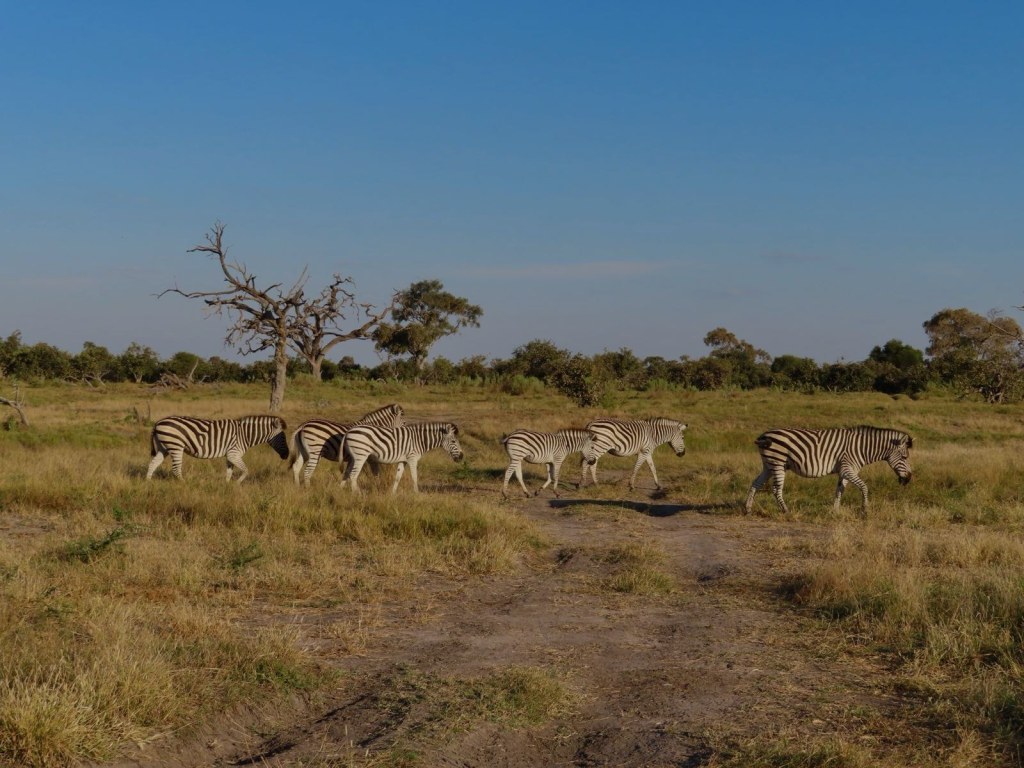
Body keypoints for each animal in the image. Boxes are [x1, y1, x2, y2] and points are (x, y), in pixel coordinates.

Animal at [146, 415, 289, 482]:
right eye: (282, 438)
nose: (286, 455)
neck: (245, 434)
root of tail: (158, 422)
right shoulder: (234, 454)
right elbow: (246, 470)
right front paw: (237, 484)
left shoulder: (230, 455)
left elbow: (229, 472)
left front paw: (226, 486)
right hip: (176, 446)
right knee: (176, 469)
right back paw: (184, 483)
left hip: (163, 447)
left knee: (153, 463)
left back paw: (148, 482)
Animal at [744, 426, 913, 516]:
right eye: (904, 457)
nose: (908, 479)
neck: (862, 448)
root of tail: (763, 435)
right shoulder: (848, 469)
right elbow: (864, 487)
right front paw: (864, 511)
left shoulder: (844, 471)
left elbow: (839, 490)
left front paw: (835, 511)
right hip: (777, 462)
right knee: (776, 489)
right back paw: (786, 511)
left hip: (768, 465)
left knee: (756, 483)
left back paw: (748, 509)